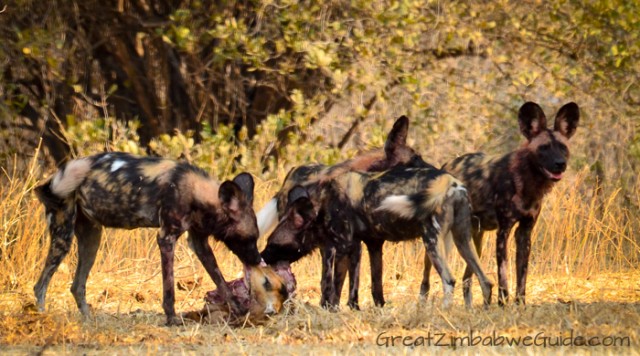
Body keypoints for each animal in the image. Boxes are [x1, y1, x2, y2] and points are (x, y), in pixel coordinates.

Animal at [33, 152, 286, 324]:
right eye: (249, 238)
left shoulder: (199, 243)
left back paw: (89, 318)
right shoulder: (166, 238)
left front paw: (238, 311)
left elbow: (221, 281)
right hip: (63, 237)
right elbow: (169, 289)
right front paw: (172, 318)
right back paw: (41, 316)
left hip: (91, 240)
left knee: (77, 286)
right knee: (40, 285)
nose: (257, 259)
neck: (196, 193)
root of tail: (54, 177)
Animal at [262, 166, 492, 308]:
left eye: (272, 244)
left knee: (449, 279)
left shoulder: (341, 247)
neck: (323, 202)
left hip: (432, 243)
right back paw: (485, 310)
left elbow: (333, 285)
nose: (261, 257)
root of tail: (450, 182)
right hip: (463, 240)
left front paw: (330, 310)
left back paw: (443, 311)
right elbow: (370, 286)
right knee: (486, 281)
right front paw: (364, 308)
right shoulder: (367, 246)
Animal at [440, 101, 580, 306]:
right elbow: (503, 274)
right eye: (544, 148)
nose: (560, 163)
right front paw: (503, 302)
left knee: (468, 278)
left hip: (475, 240)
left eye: (563, 147)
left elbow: (522, 274)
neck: (527, 183)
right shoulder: (503, 232)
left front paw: (520, 303)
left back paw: (471, 307)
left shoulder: (524, 233)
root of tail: (446, 165)